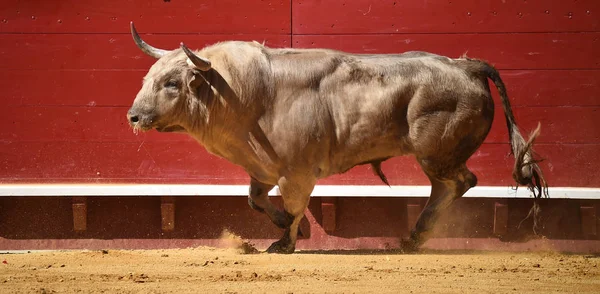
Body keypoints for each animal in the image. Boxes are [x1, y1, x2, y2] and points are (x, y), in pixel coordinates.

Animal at [126, 22, 548, 253]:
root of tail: (466, 65)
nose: (133, 115)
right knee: (450, 186)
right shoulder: (262, 170)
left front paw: (285, 243)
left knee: (459, 181)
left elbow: (296, 206)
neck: (243, 93)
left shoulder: (296, 173)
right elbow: (255, 201)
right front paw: (282, 227)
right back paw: (414, 238)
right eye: (147, 78)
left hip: (435, 153)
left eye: (172, 82)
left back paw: (419, 234)